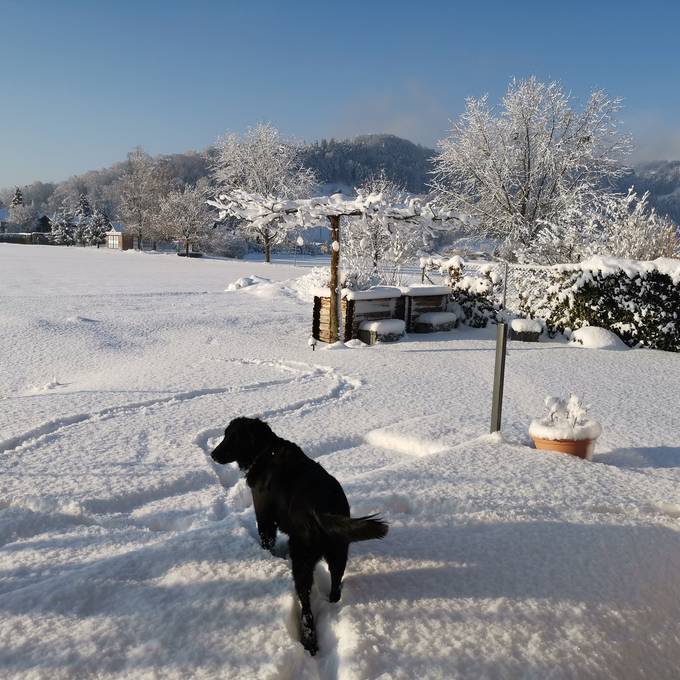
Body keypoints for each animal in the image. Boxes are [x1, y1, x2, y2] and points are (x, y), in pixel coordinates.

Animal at [210, 418, 388, 656]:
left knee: (306, 608)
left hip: (302, 560)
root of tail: (320, 509)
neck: (266, 450)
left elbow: (266, 540)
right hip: (338, 554)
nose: (212, 454)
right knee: (335, 588)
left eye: (233, 436)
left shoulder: (264, 515)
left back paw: (309, 642)